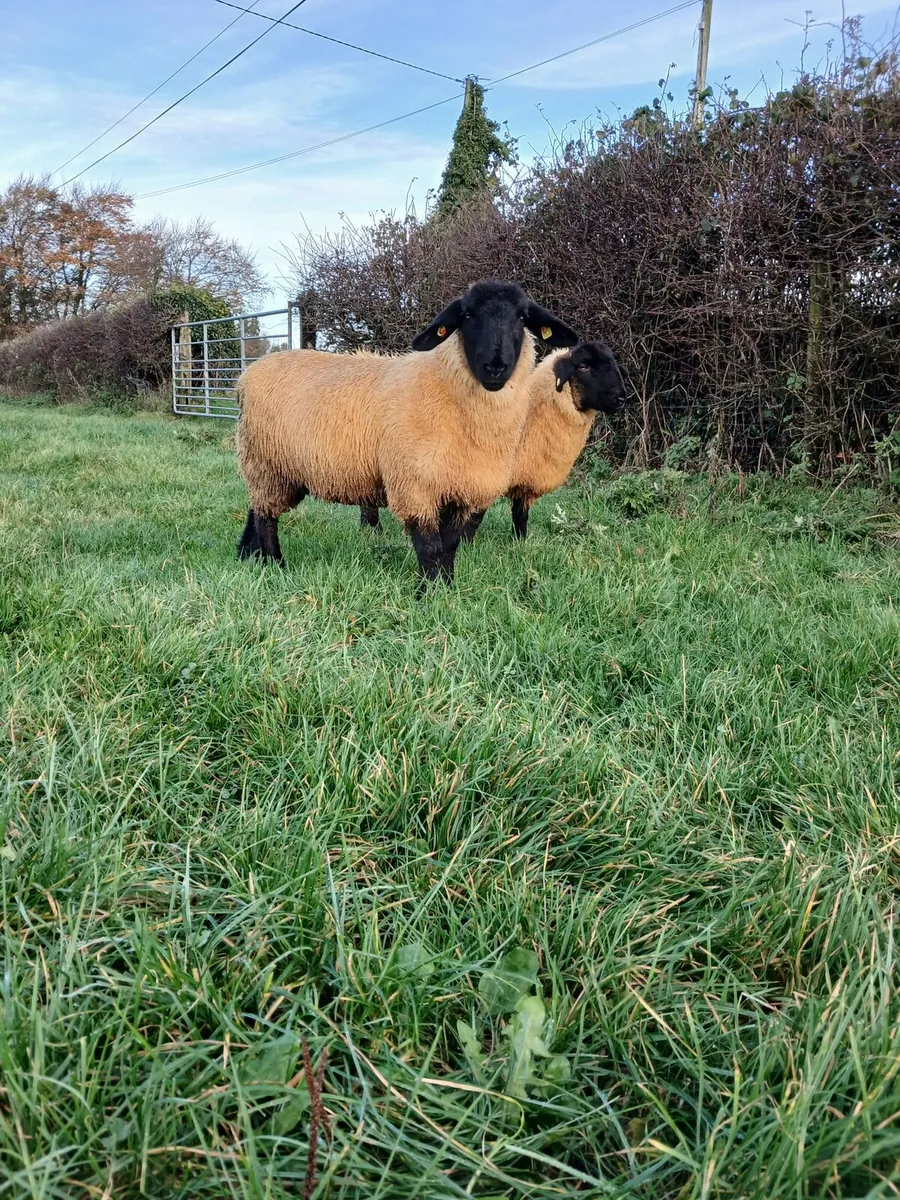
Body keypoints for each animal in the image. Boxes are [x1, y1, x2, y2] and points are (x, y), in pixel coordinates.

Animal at [236, 280, 579, 590]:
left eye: (522, 317)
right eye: (467, 314)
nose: (495, 366)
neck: (445, 389)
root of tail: (248, 373)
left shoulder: (463, 488)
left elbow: (450, 545)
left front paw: (446, 590)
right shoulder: (414, 484)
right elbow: (430, 547)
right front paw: (426, 594)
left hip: (279, 469)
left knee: (256, 508)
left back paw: (247, 555)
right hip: (266, 464)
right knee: (267, 519)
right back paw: (275, 565)